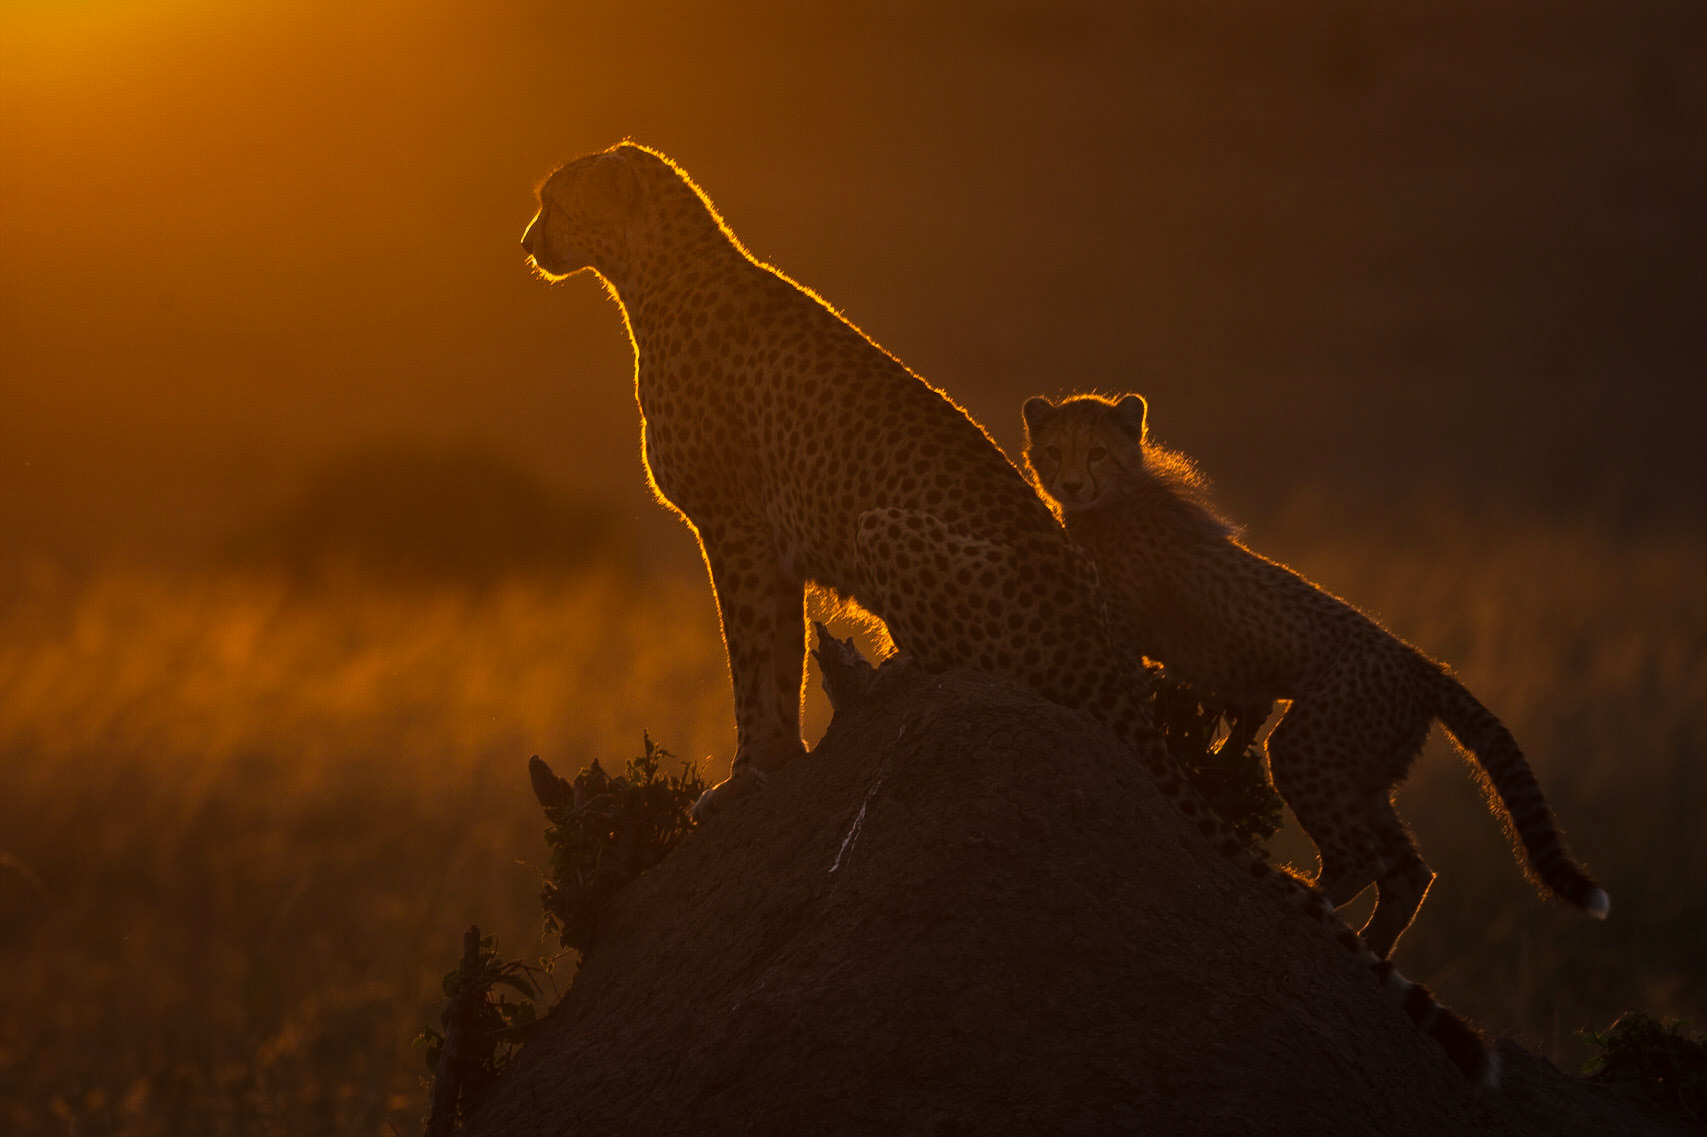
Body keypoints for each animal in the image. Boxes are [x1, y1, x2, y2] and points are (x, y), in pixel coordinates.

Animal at [521, 141, 1499, 1083]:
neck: (655, 273)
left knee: (959, 657)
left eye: (555, 198)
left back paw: (891, 675)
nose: (528, 242)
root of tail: (1112, 666)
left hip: (884, 523)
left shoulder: (738, 533)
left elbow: (755, 659)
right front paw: (775, 759)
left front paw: (749, 773)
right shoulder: (758, 541)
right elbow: (776, 658)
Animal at [1021, 391, 1610, 959]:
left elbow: (1128, 690)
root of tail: (1421, 661)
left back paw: (1309, 895)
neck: (1113, 502)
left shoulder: (1124, 632)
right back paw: (1372, 946)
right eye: (1054, 451)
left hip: (1308, 745)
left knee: (1363, 858)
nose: (1071, 484)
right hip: (1361, 769)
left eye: (1097, 452)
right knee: (1410, 870)